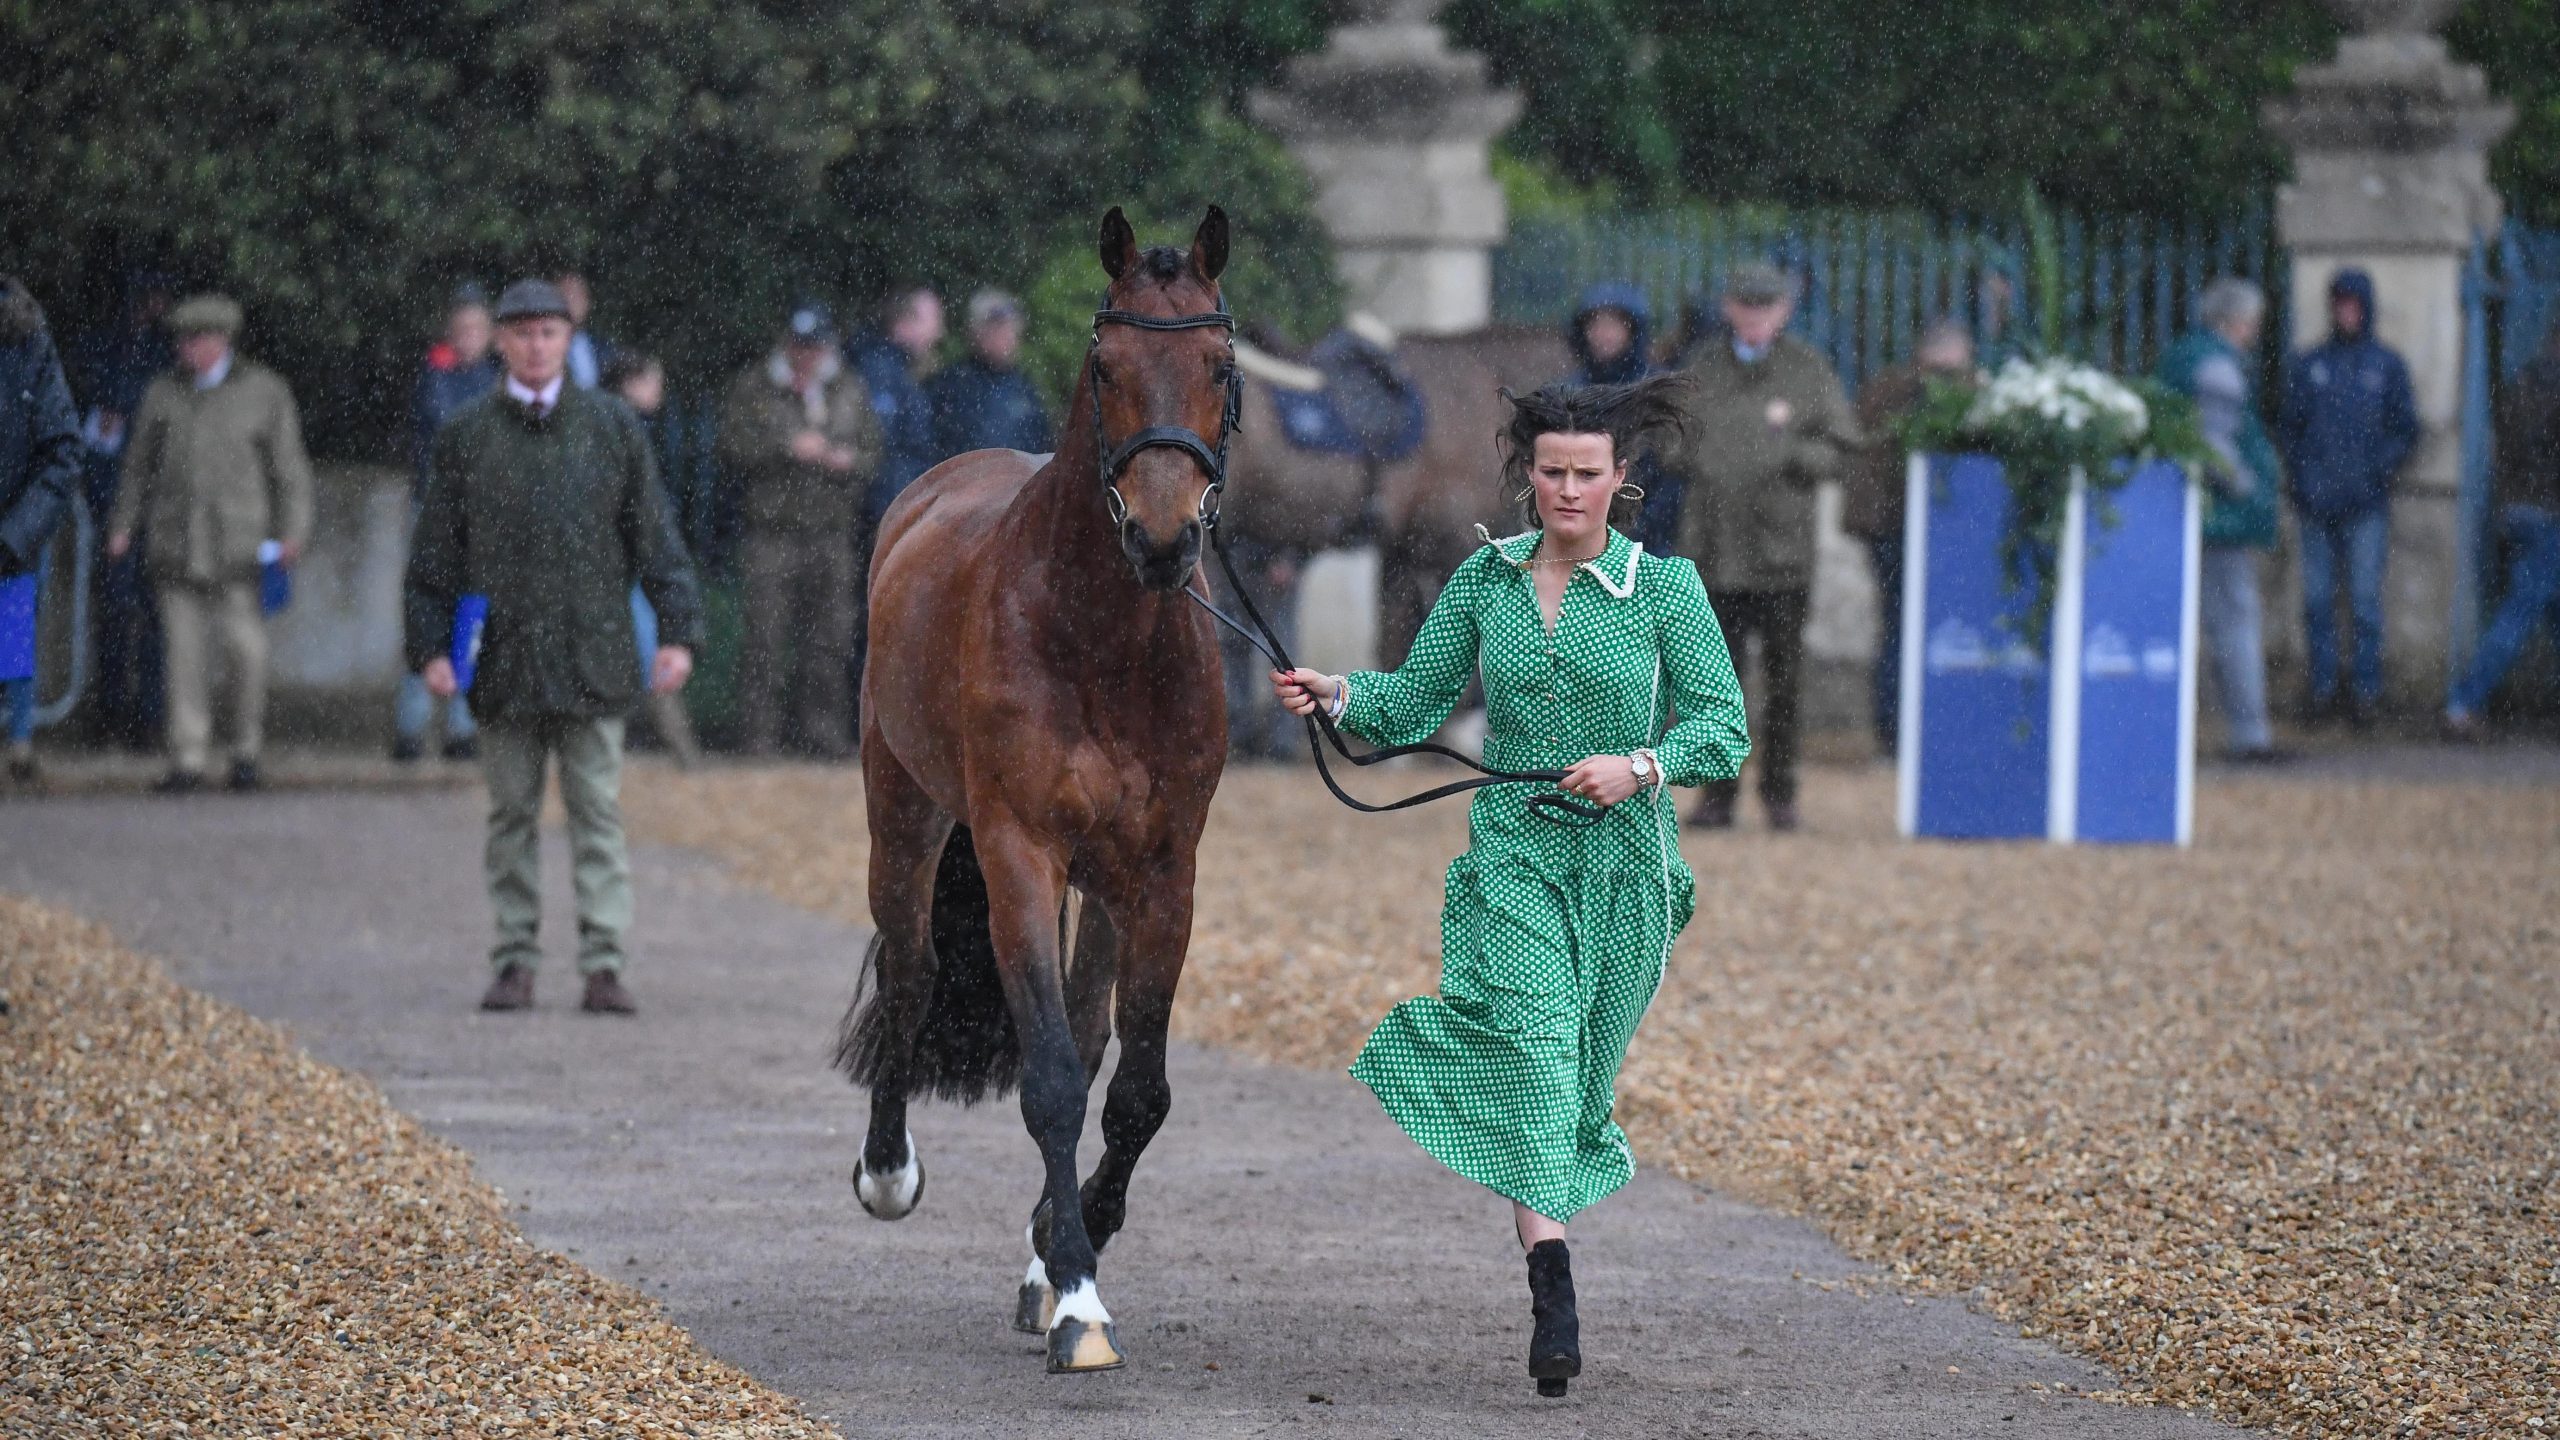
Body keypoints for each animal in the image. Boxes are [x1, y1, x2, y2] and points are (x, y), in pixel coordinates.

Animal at [835, 205, 1236, 1375]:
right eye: (1106, 366)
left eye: (1219, 365)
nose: (1163, 537)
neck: (1104, 640)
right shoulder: (1019, 849)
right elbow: (1052, 1077)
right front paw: (1079, 1305)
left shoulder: (1164, 869)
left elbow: (1135, 1088)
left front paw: (1067, 1243)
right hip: (905, 814)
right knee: (912, 970)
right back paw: (889, 1173)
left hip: (1102, 881)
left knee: (1094, 1033)